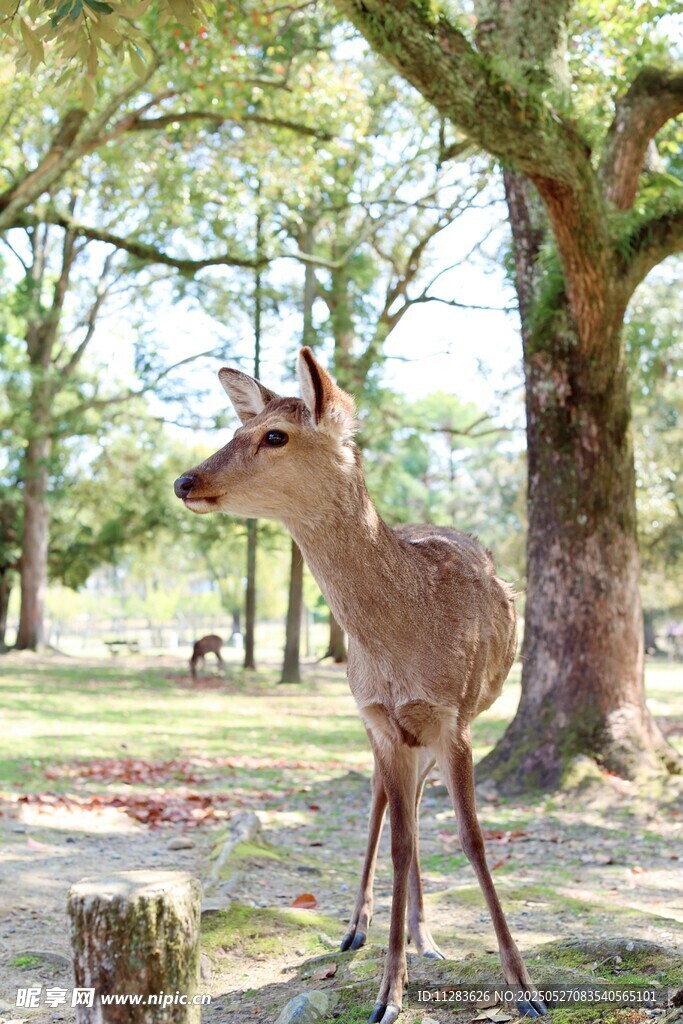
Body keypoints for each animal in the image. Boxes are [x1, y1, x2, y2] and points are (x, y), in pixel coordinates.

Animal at [173, 348, 547, 1024]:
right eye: (239, 427)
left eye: (274, 434)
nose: (184, 482)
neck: (404, 640)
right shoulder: (381, 719)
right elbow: (397, 839)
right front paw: (387, 992)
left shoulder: (450, 718)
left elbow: (473, 839)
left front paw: (525, 987)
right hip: (376, 729)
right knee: (382, 806)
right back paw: (357, 929)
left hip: (432, 732)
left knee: (416, 810)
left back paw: (427, 937)